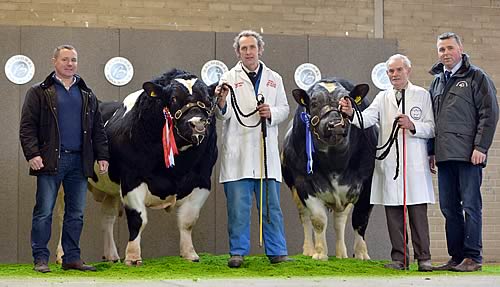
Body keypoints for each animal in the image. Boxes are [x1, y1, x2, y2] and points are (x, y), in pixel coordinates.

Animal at [66, 69, 217, 266]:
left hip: (110, 189)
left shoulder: (202, 181)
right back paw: (61, 256)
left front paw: (189, 254)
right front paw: (132, 256)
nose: (198, 124)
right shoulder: (132, 179)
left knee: (107, 217)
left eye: (208, 100)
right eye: (174, 98)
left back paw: (111, 255)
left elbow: (187, 220)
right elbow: (138, 219)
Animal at [282, 78, 376, 260]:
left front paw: (362, 254)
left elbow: (360, 219)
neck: (335, 164)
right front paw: (320, 253)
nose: (335, 124)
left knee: (340, 221)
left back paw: (341, 254)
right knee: (304, 216)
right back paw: (308, 250)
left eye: (347, 101)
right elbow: (318, 220)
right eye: (314, 103)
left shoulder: (368, 182)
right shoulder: (304, 183)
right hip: (294, 189)